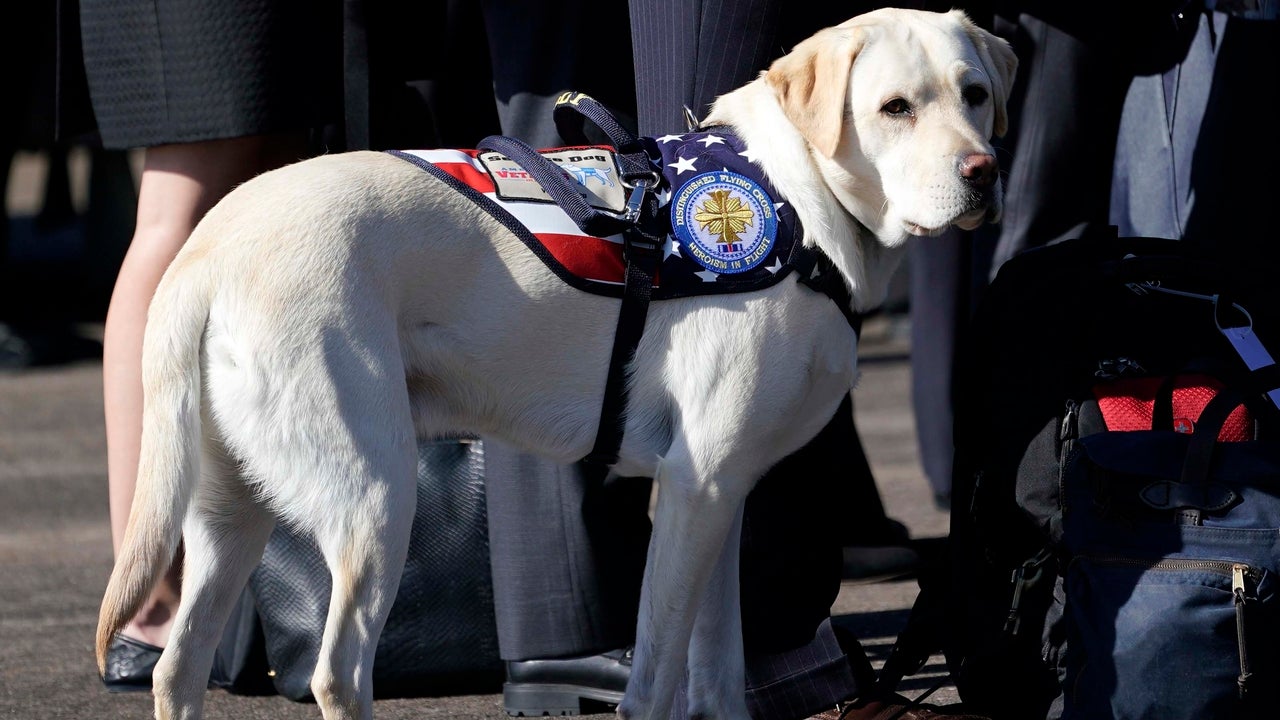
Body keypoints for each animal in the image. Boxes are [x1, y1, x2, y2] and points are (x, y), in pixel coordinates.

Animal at [97, 7, 1018, 717]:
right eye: (894, 107)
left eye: (975, 95)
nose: (983, 172)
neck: (795, 201)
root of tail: (207, 247)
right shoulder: (693, 488)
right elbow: (656, 677)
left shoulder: (724, 493)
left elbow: (719, 670)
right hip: (373, 500)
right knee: (337, 672)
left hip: (230, 512)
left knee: (180, 668)